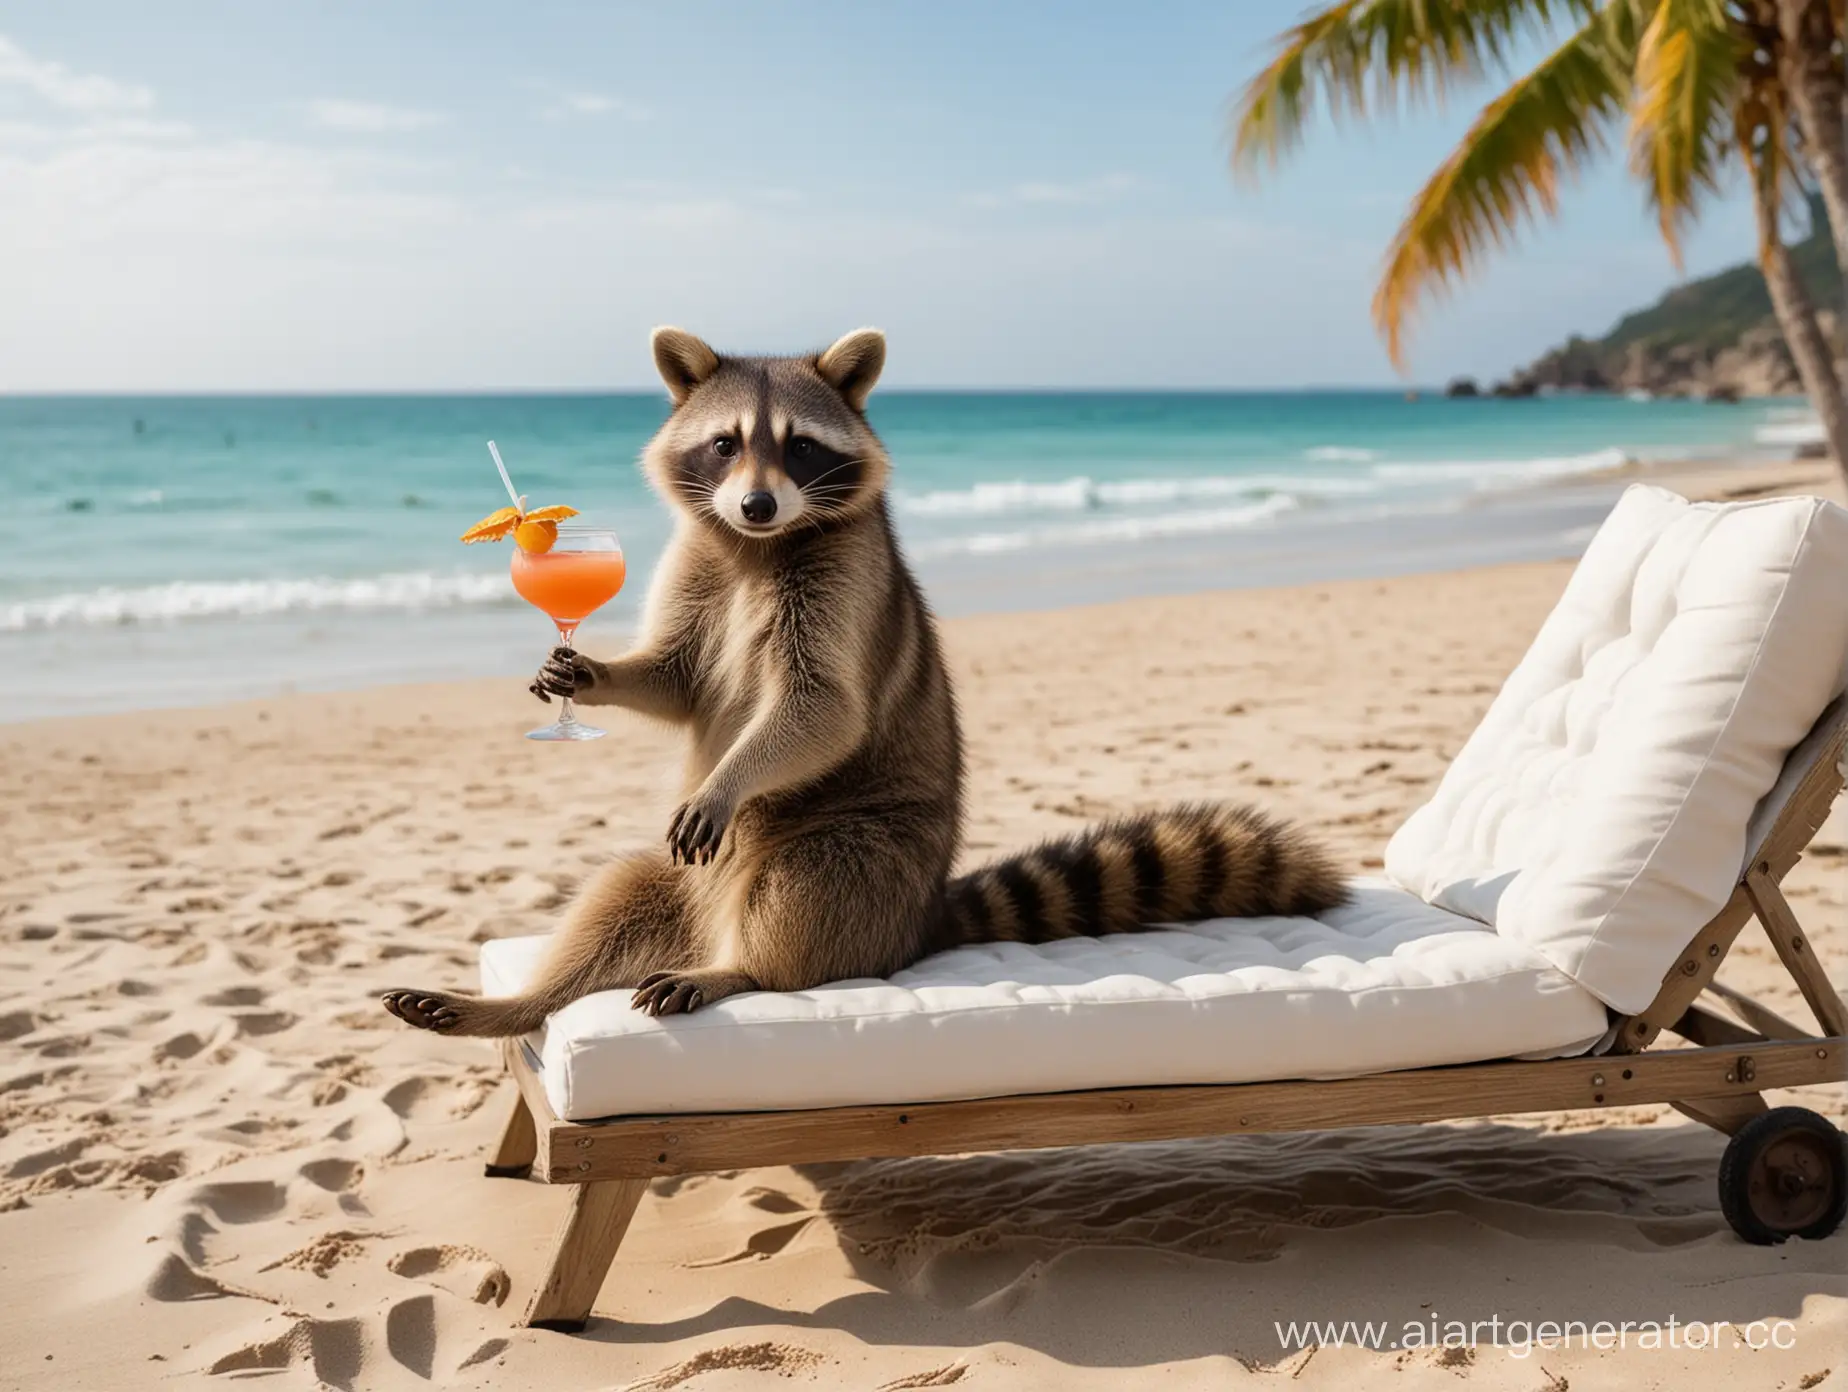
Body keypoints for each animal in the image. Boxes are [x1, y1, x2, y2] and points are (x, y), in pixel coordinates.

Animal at [382, 329, 1352, 1042]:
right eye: (726, 443)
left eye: (800, 448)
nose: (758, 506)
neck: (756, 547)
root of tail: (917, 920)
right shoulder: (699, 565)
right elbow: (676, 678)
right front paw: (587, 671)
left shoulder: (844, 581)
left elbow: (824, 708)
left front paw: (729, 776)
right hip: (681, 882)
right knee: (614, 898)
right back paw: (517, 1005)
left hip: (863, 849)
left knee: (802, 892)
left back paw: (740, 969)